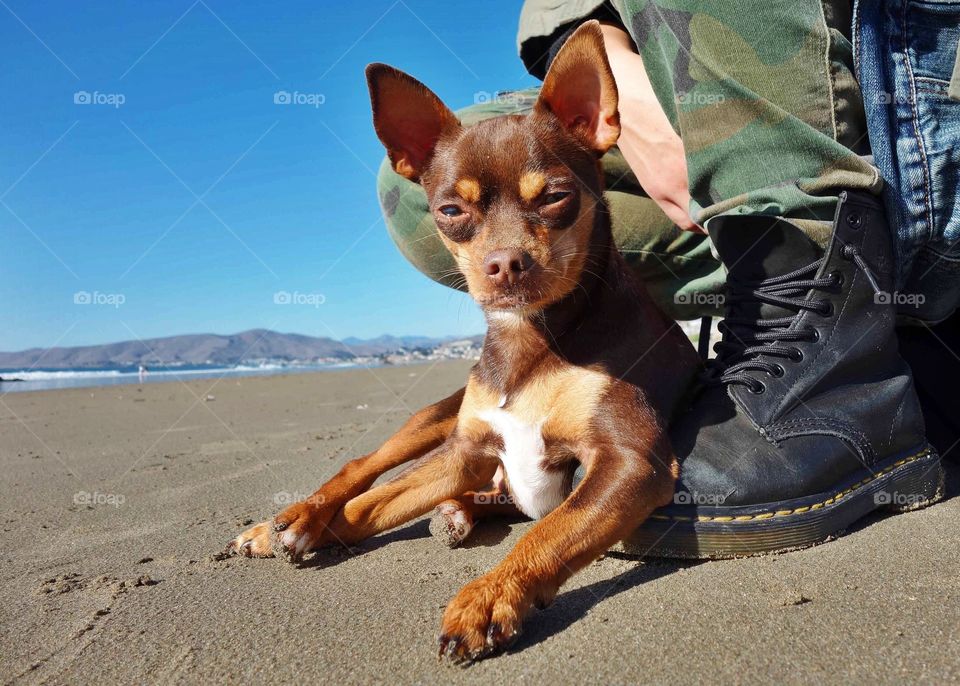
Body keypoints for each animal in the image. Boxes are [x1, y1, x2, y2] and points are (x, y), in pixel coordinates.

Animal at [229, 21, 700, 664]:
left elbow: (548, 531)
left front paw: (486, 598)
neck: (532, 338)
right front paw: (308, 528)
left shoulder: (630, 461)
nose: (505, 263)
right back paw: (293, 516)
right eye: (450, 210)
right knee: (364, 465)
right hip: (435, 421)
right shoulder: (463, 452)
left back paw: (451, 515)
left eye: (555, 197)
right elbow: (367, 505)